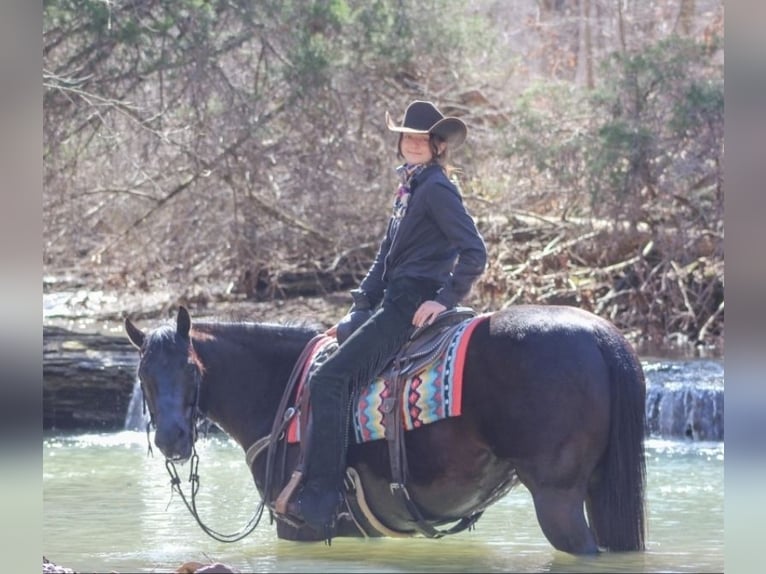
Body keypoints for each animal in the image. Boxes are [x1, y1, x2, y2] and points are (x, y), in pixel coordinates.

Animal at [124, 304, 646, 555]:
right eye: (143, 374)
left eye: (190, 368)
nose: (171, 438)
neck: (281, 389)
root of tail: (600, 335)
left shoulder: (299, 529)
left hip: (557, 498)